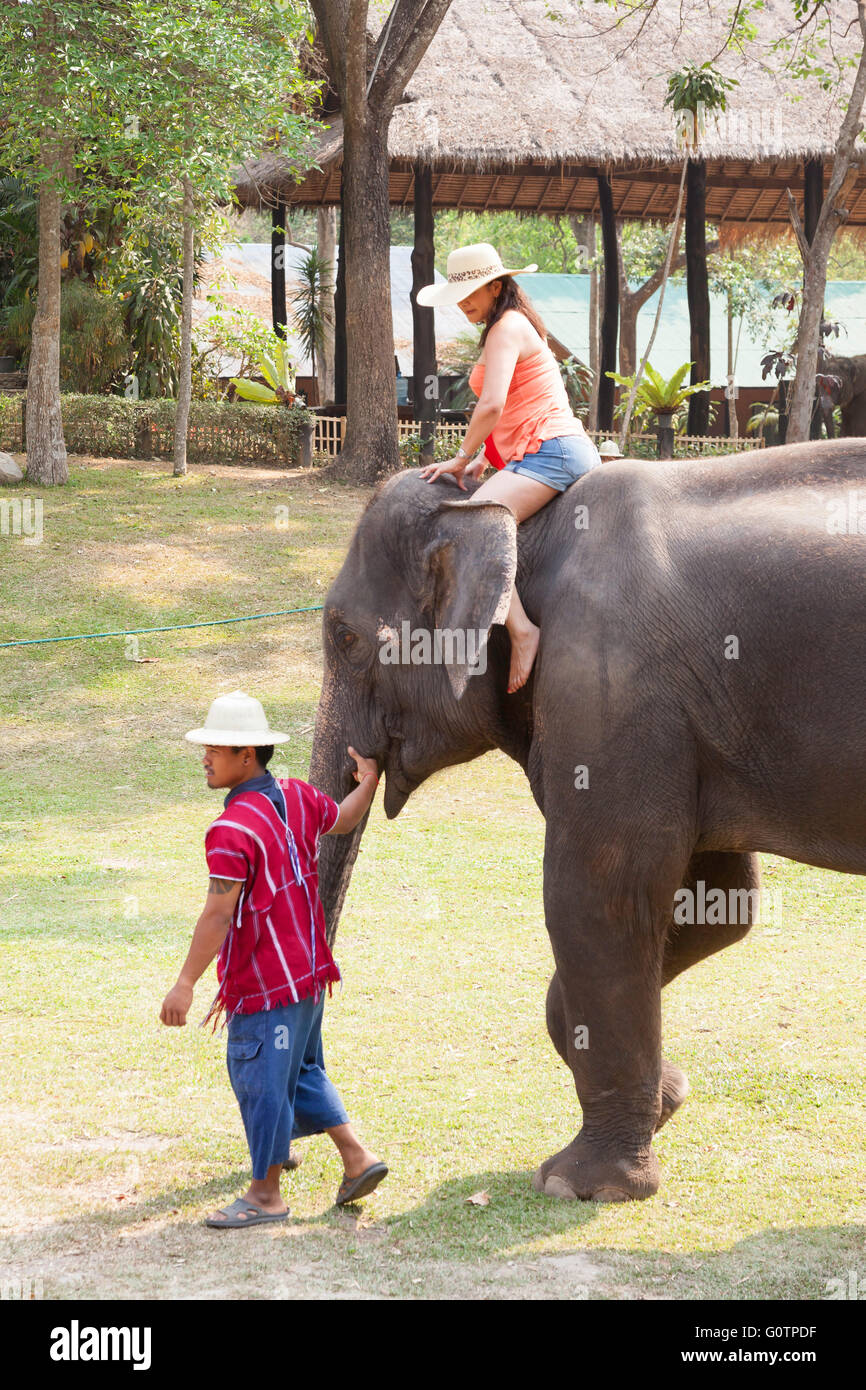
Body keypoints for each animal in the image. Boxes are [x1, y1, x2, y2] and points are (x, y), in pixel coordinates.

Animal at [308, 437, 866, 1202]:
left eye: (345, 637)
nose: (356, 1183)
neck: (523, 528)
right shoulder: (676, 721)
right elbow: (719, 903)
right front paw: (670, 1099)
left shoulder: (608, 683)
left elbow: (599, 899)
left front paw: (579, 1185)